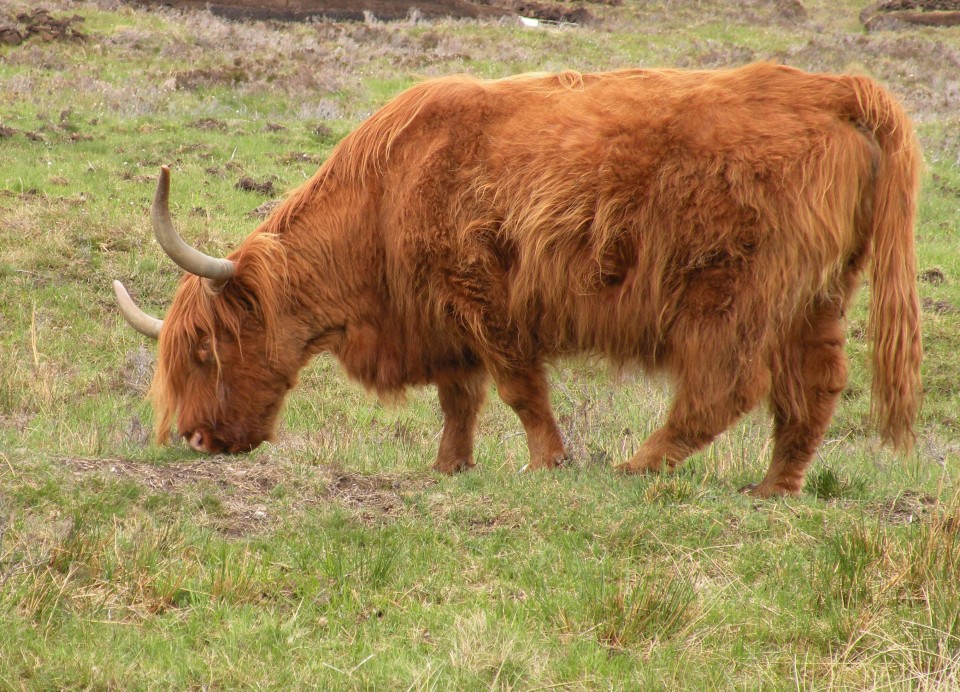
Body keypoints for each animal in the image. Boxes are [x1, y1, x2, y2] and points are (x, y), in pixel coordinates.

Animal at [114, 63, 924, 498]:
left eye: (205, 350)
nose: (196, 440)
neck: (384, 193)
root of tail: (836, 89)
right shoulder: (442, 318)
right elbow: (459, 399)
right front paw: (450, 467)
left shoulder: (482, 297)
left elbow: (517, 389)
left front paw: (547, 463)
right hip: (818, 297)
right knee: (813, 389)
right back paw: (772, 488)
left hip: (731, 294)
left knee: (725, 387)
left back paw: (634, 466)